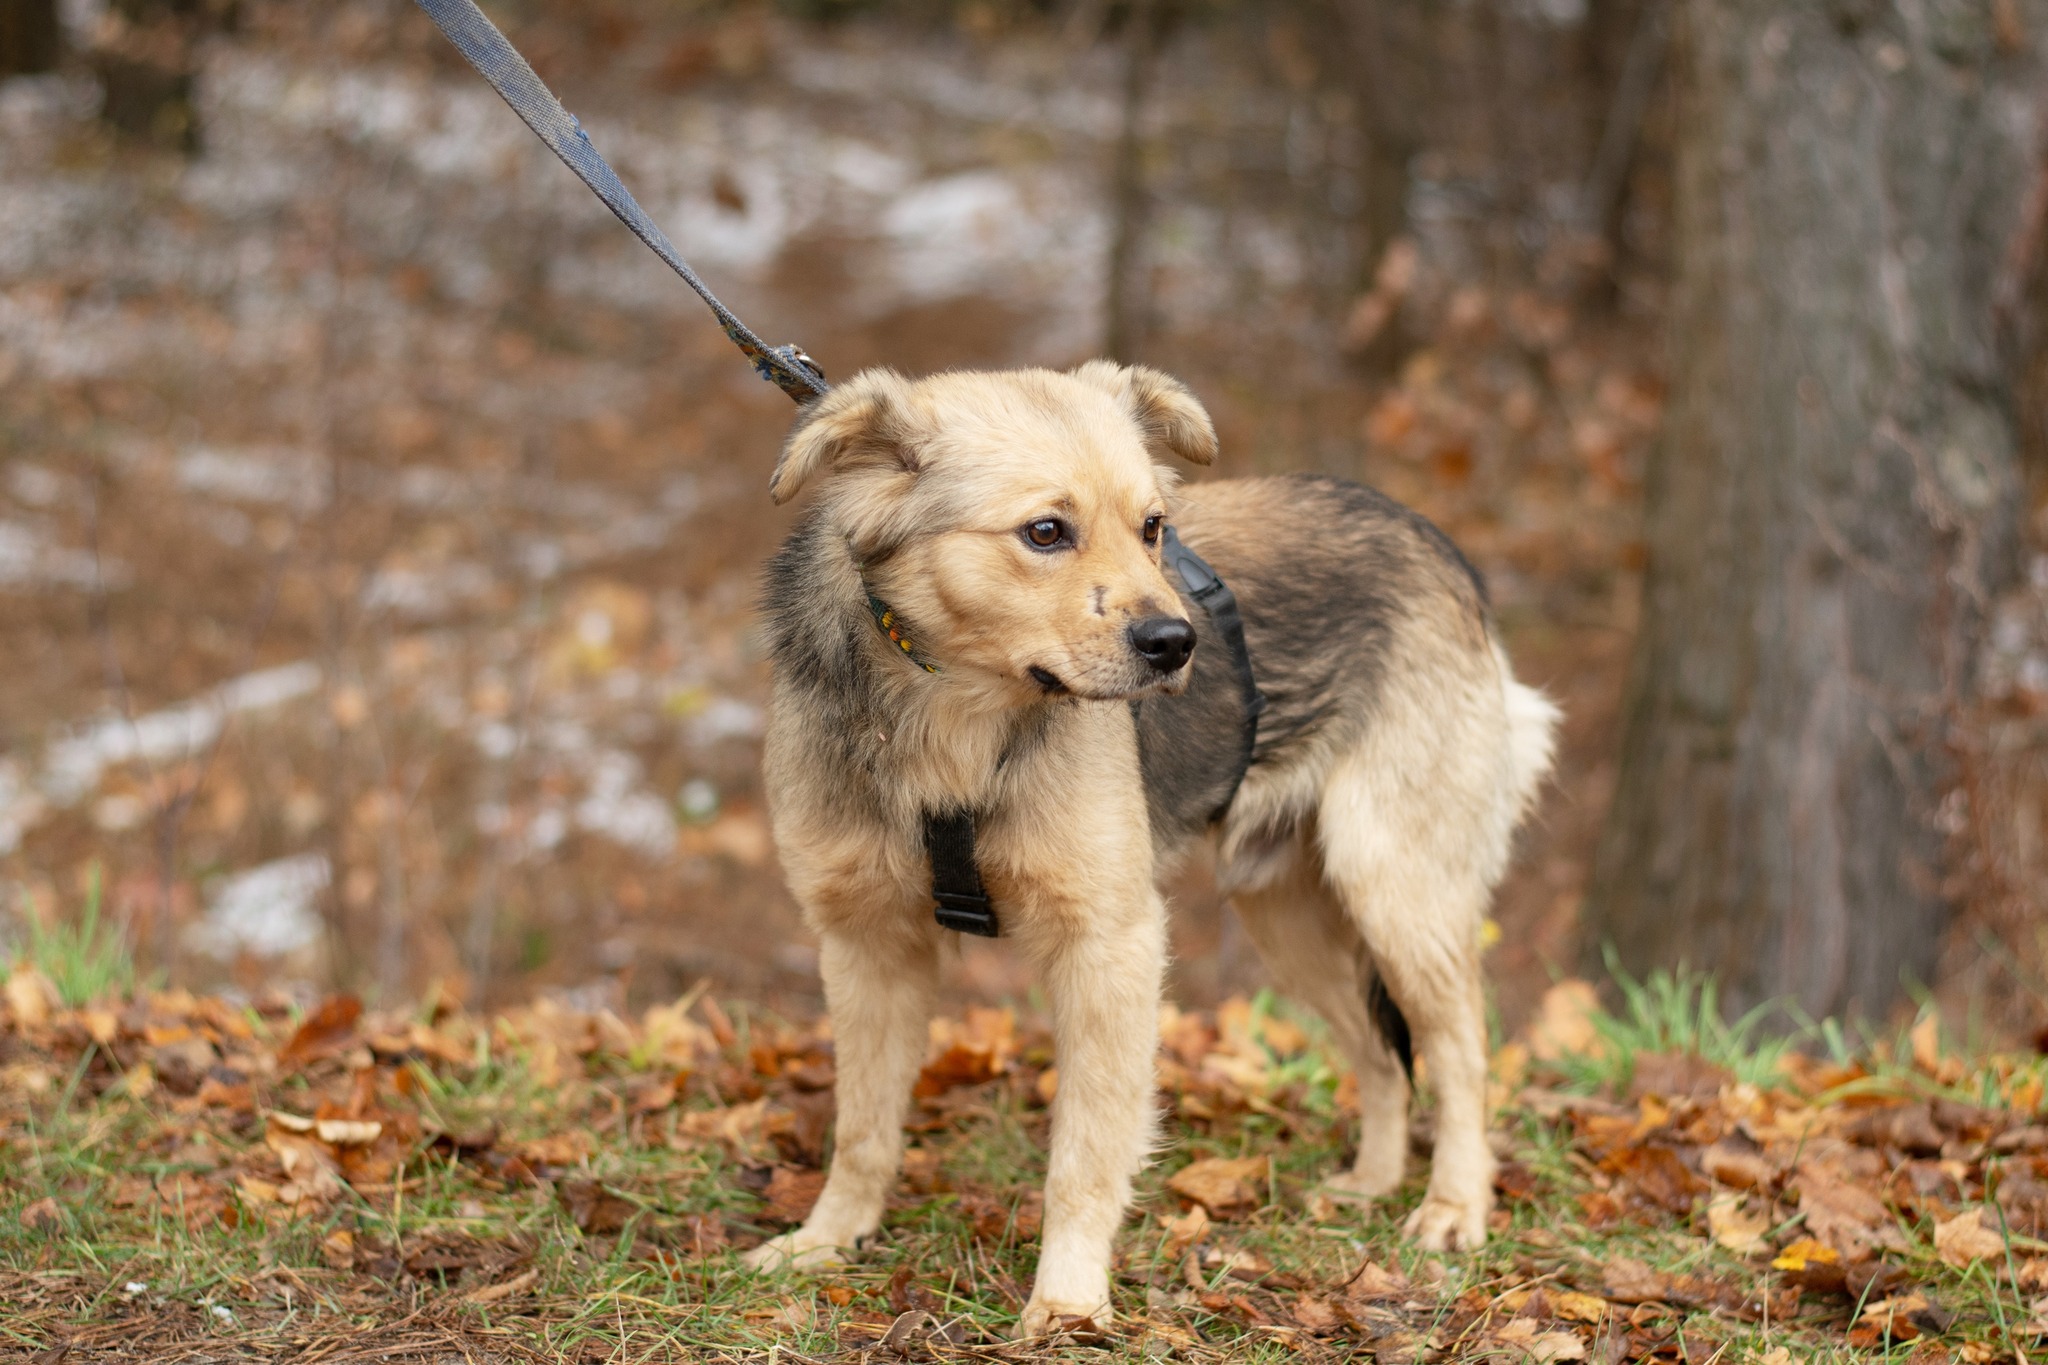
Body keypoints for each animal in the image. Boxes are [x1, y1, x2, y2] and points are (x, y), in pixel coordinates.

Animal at [745, 360, 1556, 1334]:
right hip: (1288, 914)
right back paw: (1371, 1181)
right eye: (1045, 532)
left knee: (1462, 1048)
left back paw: (1453, 1204)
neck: (955, 718)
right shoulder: (867, 942)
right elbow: (863, 1126)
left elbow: (1085, 1151)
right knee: (1376, 1050)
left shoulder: (1110, 946)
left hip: (1394, 884)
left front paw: (1067, 1299)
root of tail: (1433, 540)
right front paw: (828, 1240)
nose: (1178, 644)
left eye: (1153, 527)